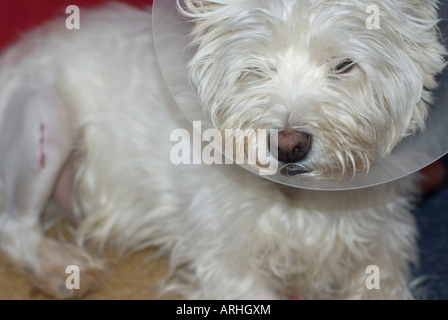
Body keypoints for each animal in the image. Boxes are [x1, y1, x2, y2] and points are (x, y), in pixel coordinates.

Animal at [0, 0, 446, 300]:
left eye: (344, 65)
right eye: (257, 68)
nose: (289, 147)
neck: (308, 202)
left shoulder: (386, 246)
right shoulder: (229, 264)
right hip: (47, 116)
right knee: (14, 224)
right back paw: (61, 268)